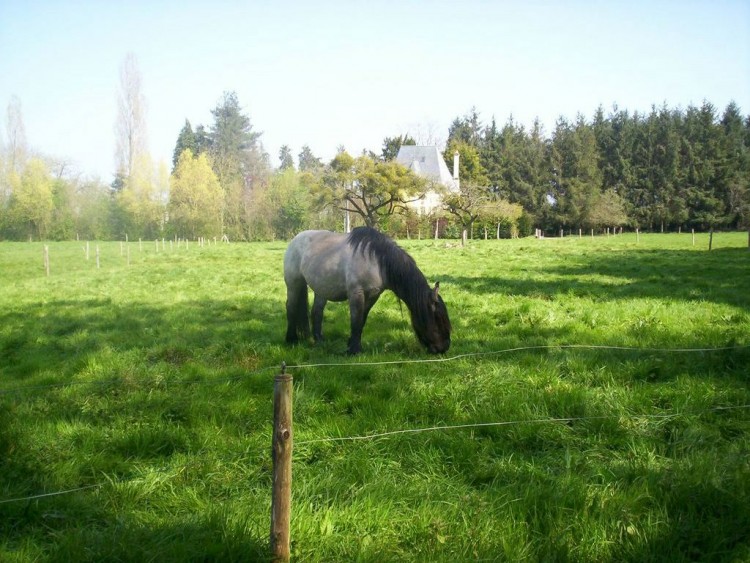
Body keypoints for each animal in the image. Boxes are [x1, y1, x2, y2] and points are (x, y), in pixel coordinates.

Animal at [284, 227, 452, 354]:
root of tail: (296, 239)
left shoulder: (373, 296)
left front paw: (353, 344)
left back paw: (319, 340)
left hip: (322, 288)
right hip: (294, 284)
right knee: (291, 307)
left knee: (316, 312)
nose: (444, 348)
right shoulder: (356, 294)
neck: (377, 261)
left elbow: (362, 320)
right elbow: (356, 320)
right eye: (437, 318)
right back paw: (291, 339)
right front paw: (354, 350)